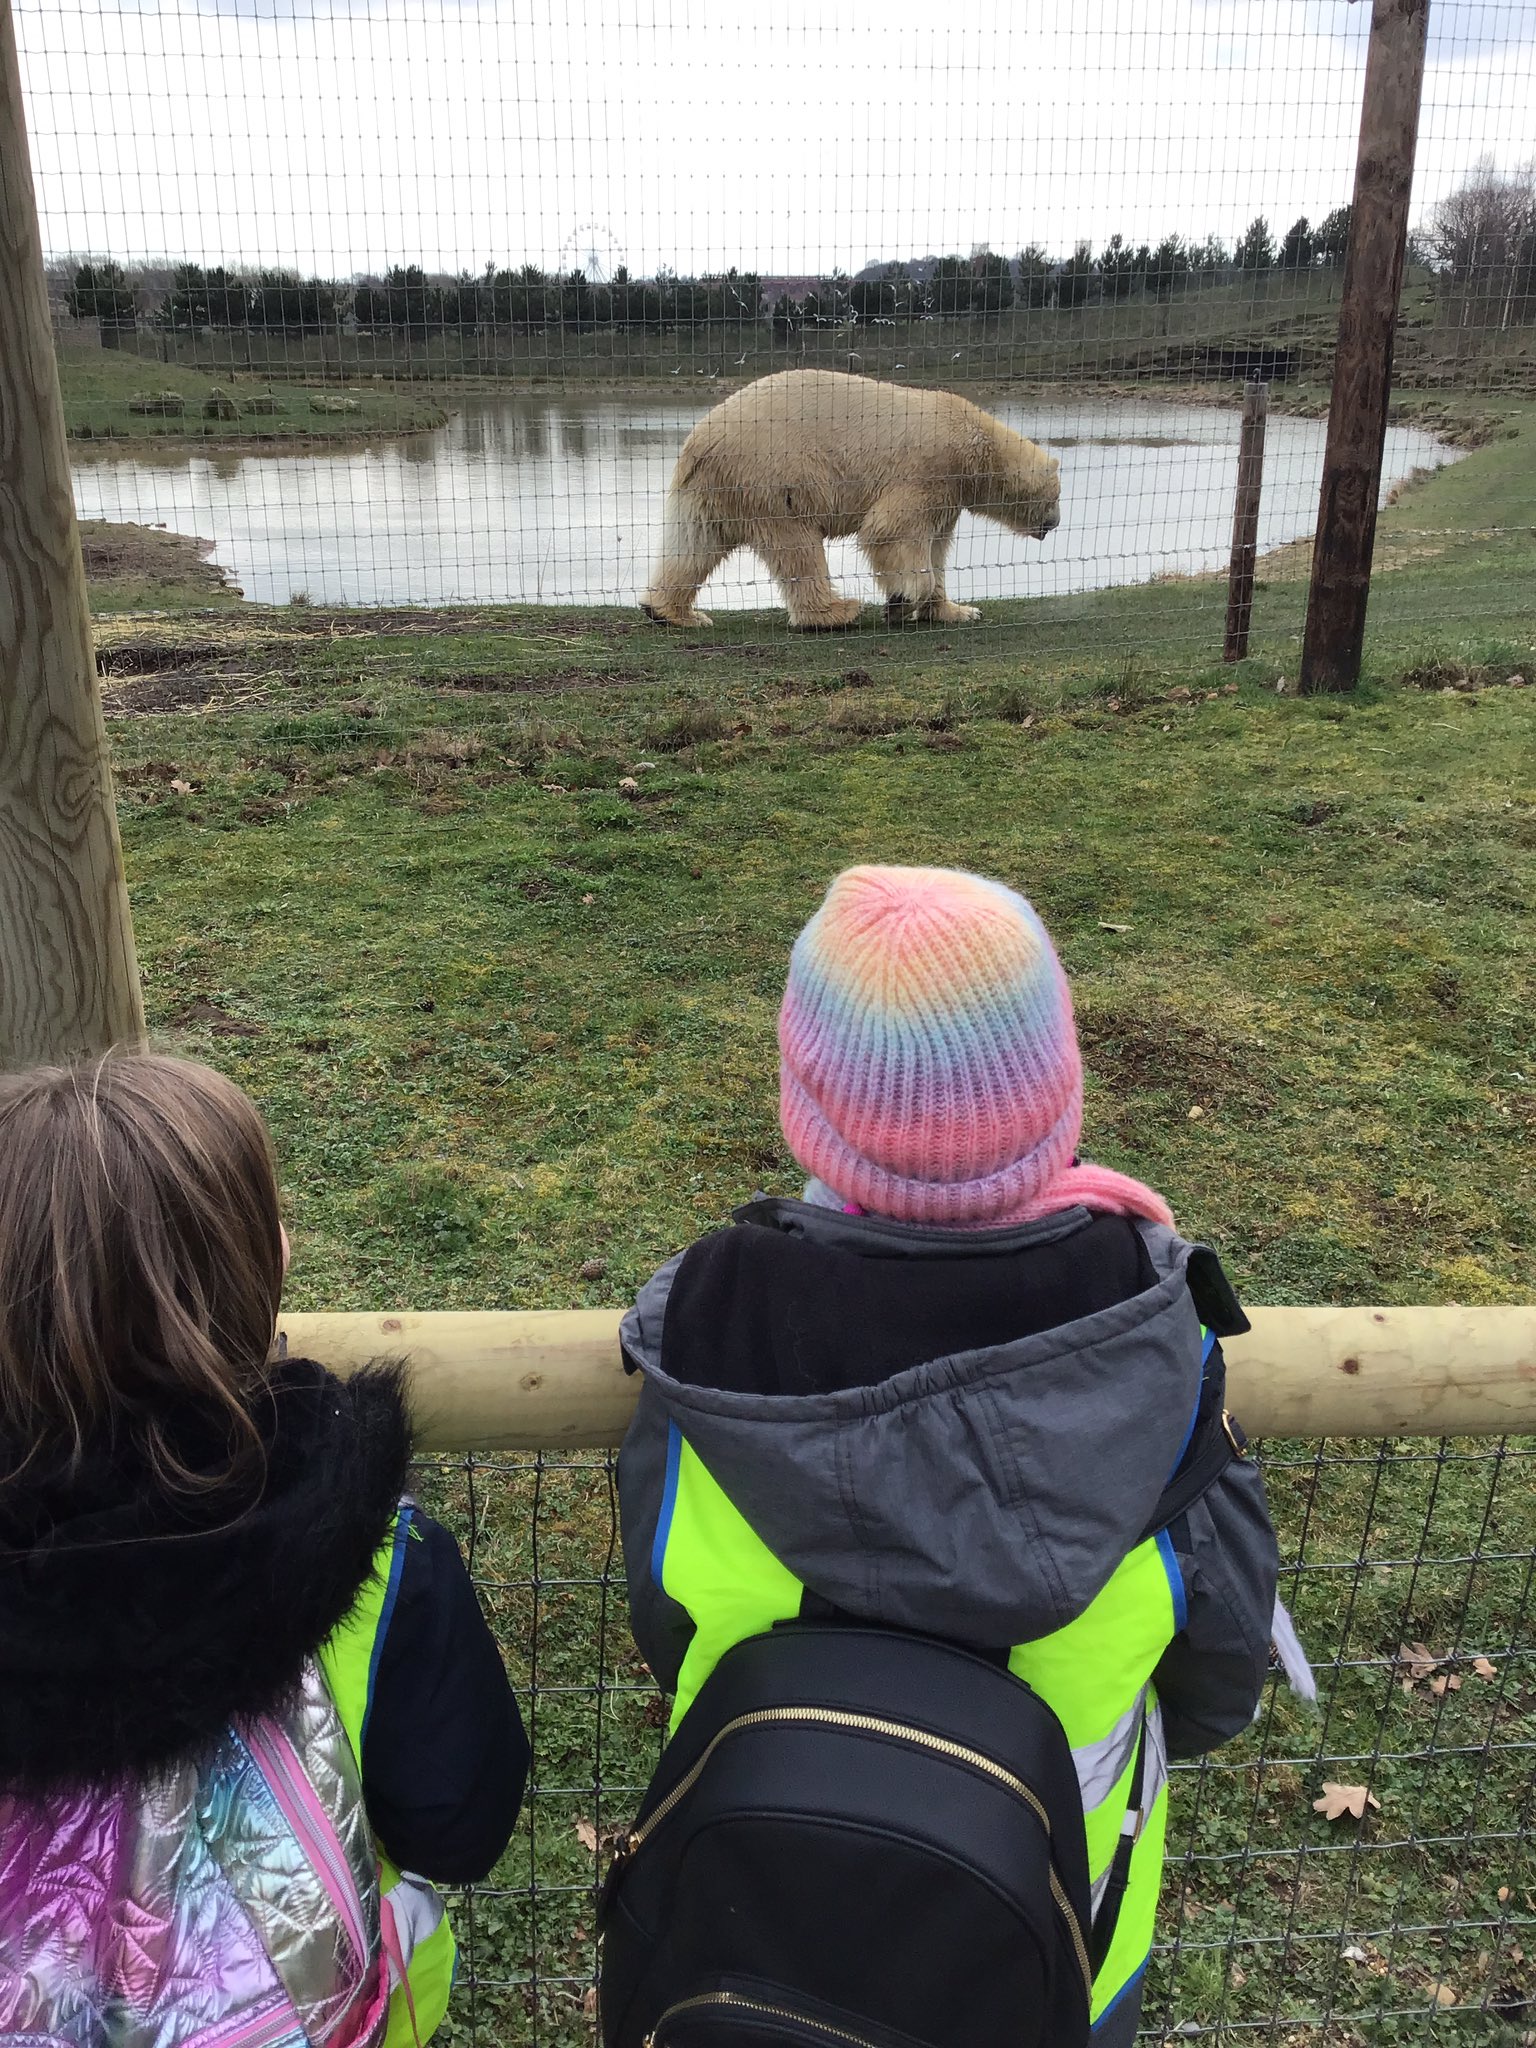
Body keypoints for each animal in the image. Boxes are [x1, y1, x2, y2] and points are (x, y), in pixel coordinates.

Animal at [638, 364, 1056, 626]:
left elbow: (936, 547)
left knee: (693, 544)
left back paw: (672, 611)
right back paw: (836, 612)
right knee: (797, 546)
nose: (1053, 524)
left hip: (710, 488)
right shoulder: (929, 472)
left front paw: (957, 610)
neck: (975, 442)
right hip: (775, 476)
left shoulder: (950, 494)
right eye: (1055, 497)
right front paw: (900, 602)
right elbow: (891, 530)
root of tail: (701, 438)